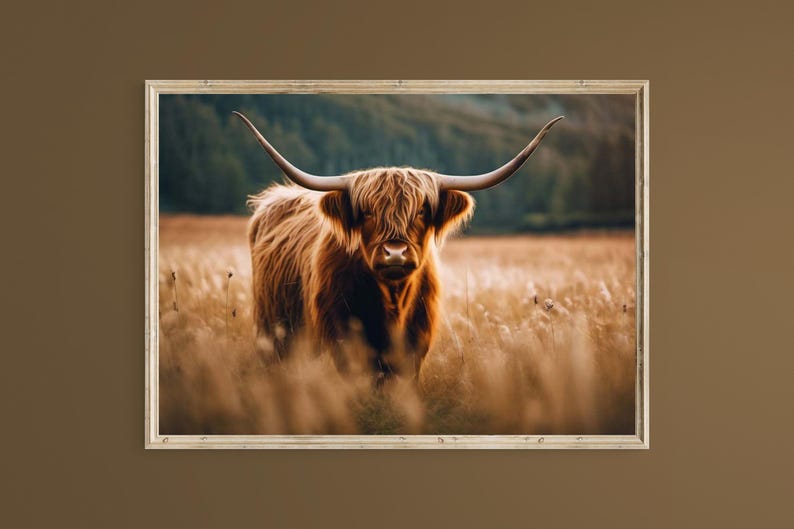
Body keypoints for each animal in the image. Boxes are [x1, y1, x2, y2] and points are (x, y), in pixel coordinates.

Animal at [233, 111, 563, 379]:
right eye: (367, 212)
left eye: (421, 210)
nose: (395, 253)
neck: (391, 303)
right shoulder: (341, 344)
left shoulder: (414, 352)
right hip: (271, 332)